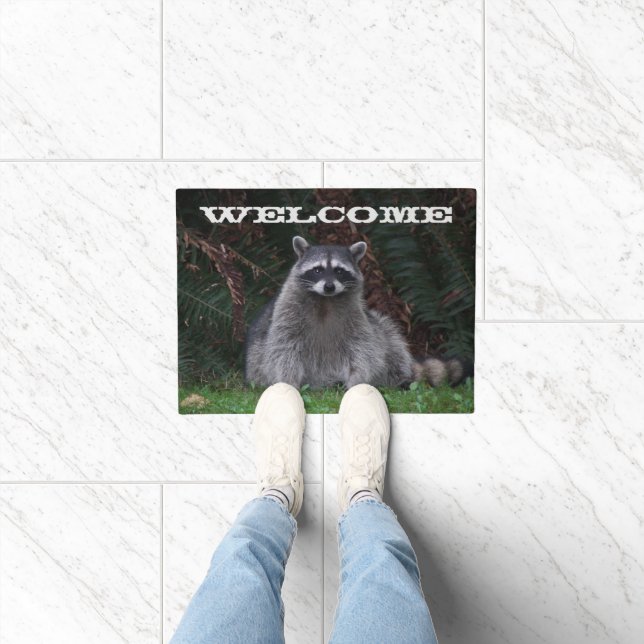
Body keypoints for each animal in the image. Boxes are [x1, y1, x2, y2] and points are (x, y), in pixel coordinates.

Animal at [244, 236, 469, 389]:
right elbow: (283, 348)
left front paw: (357, 381)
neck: (326, 301)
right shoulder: (286, 313)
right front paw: (288, 381)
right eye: (317, 270)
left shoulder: (357, 316)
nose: (329, 287)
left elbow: (362, 349)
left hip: (377, 326)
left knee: (391, 341)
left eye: (339, 271)